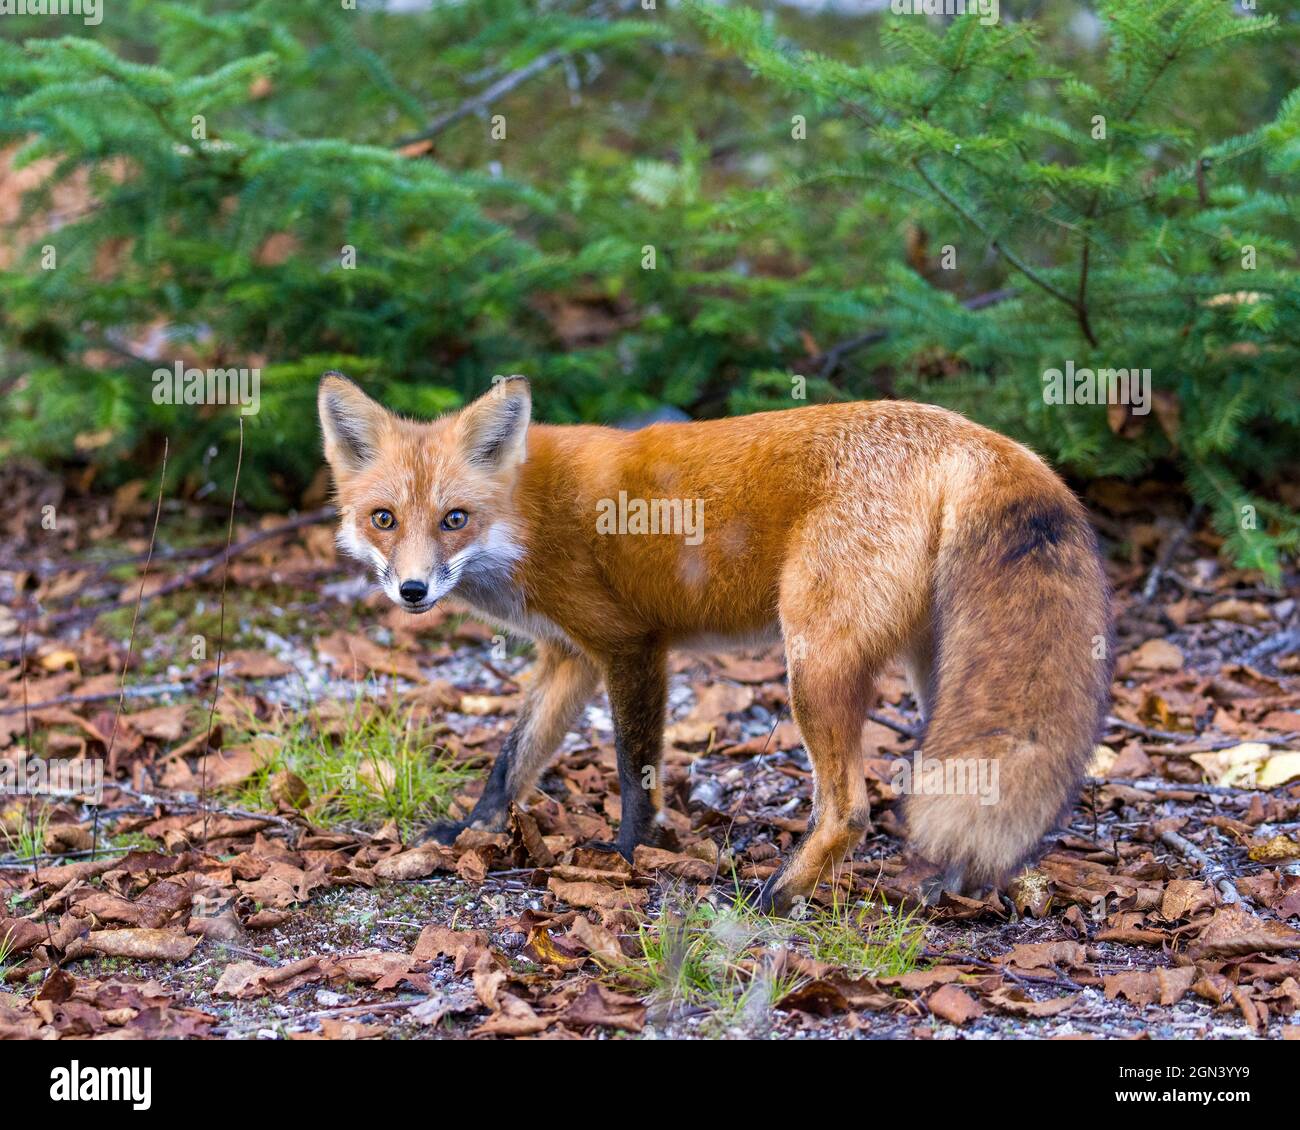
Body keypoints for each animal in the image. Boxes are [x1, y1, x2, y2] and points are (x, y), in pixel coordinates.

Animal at [318, 372, 1111, 914]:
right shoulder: (570, 658)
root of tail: (977, 435)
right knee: (955, 771)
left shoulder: (630, 646)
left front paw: (629, 854)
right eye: (385, 518)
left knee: (850, 808)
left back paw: (779, 895)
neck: (528, 514)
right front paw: (468, 833)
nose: (412, 590)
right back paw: (944, 883)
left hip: (812, 661)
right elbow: (511, 762)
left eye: (455, 519)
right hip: (933, 669)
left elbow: (634, 769)